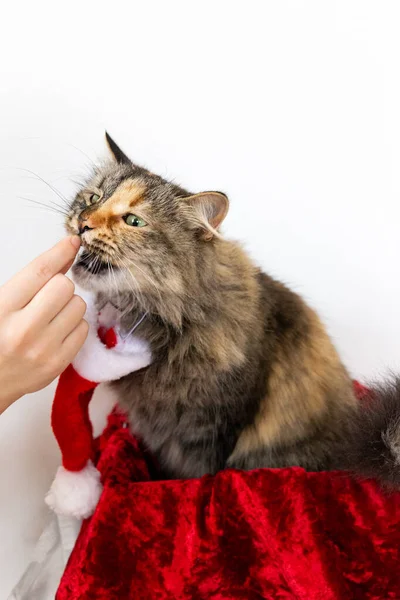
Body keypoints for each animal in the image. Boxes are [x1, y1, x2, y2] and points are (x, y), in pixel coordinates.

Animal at [66, 134, 400, 486]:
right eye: (93, 197)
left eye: (133, 221)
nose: (83, 223)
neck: (169, 323)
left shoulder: (210, 429)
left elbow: (197, 478)